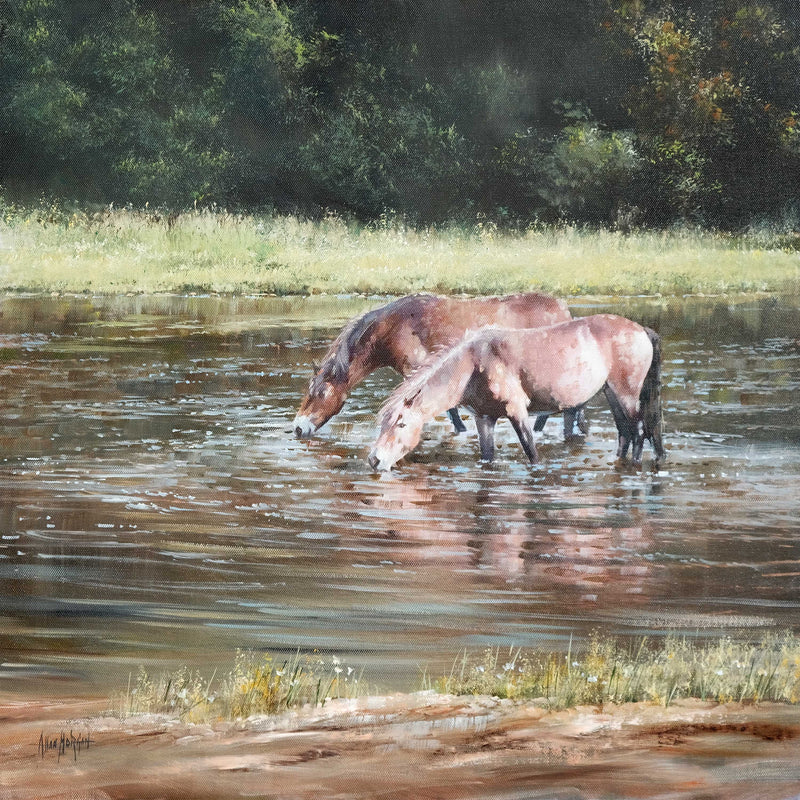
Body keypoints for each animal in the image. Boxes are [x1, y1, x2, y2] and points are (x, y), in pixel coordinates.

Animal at [367, 314, 665, 471]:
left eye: (402, 424)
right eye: (381, 425)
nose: (374, 459)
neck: (472, 364)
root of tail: (641, 330)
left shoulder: (516, 410)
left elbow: (531, 453)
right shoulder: (484, 418)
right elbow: (487, 456)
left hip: (626, 394)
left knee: (638, 432)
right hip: (610, 393)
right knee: (626, 432)